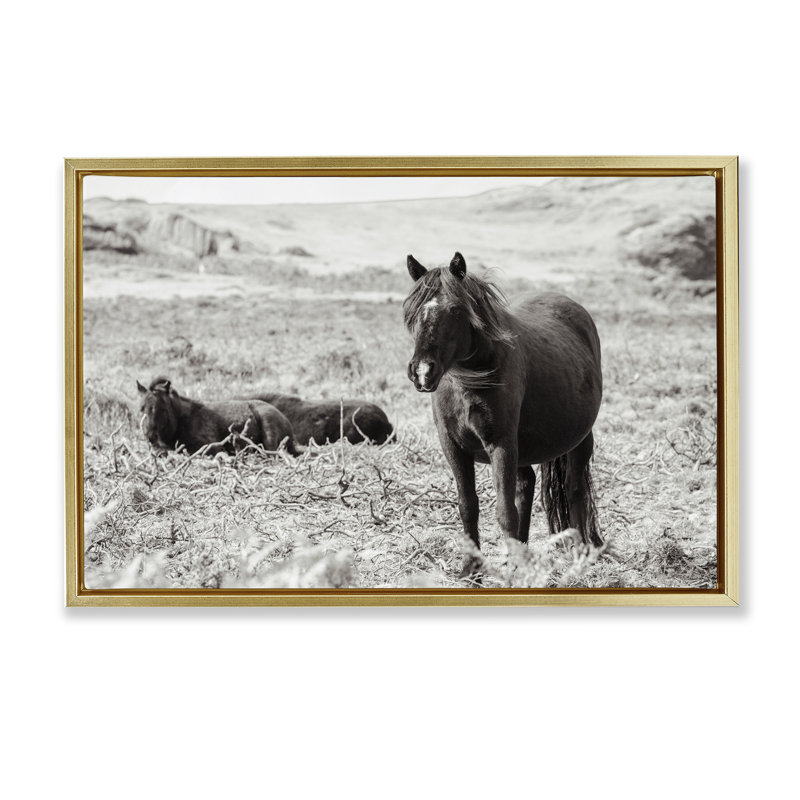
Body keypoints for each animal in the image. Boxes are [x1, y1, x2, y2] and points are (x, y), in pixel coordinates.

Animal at [136, 377, 298, 456]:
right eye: (141, 408)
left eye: (161, 409)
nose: (150, 436)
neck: (182, 420)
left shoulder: (210, 447)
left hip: (269, 433)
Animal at [403, 252, 603, 576]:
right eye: (411, 311)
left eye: (456, 309)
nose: (422, 371)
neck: (469, 382)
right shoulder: (453, 447)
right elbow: (468, 505)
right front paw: (471, 570)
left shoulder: (501, 445)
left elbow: (504, 510)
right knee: (527, 484)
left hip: (580, 440)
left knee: (575, 490)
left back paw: (580, 552)